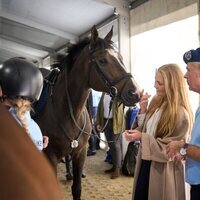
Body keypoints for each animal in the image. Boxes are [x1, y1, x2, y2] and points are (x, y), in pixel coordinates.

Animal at [34, 25, 141, 199]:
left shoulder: (80, 151)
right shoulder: (49, 155)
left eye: (120, 58)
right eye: (103, 60)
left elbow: (77, 188)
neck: (68, 110)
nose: (135, 93)